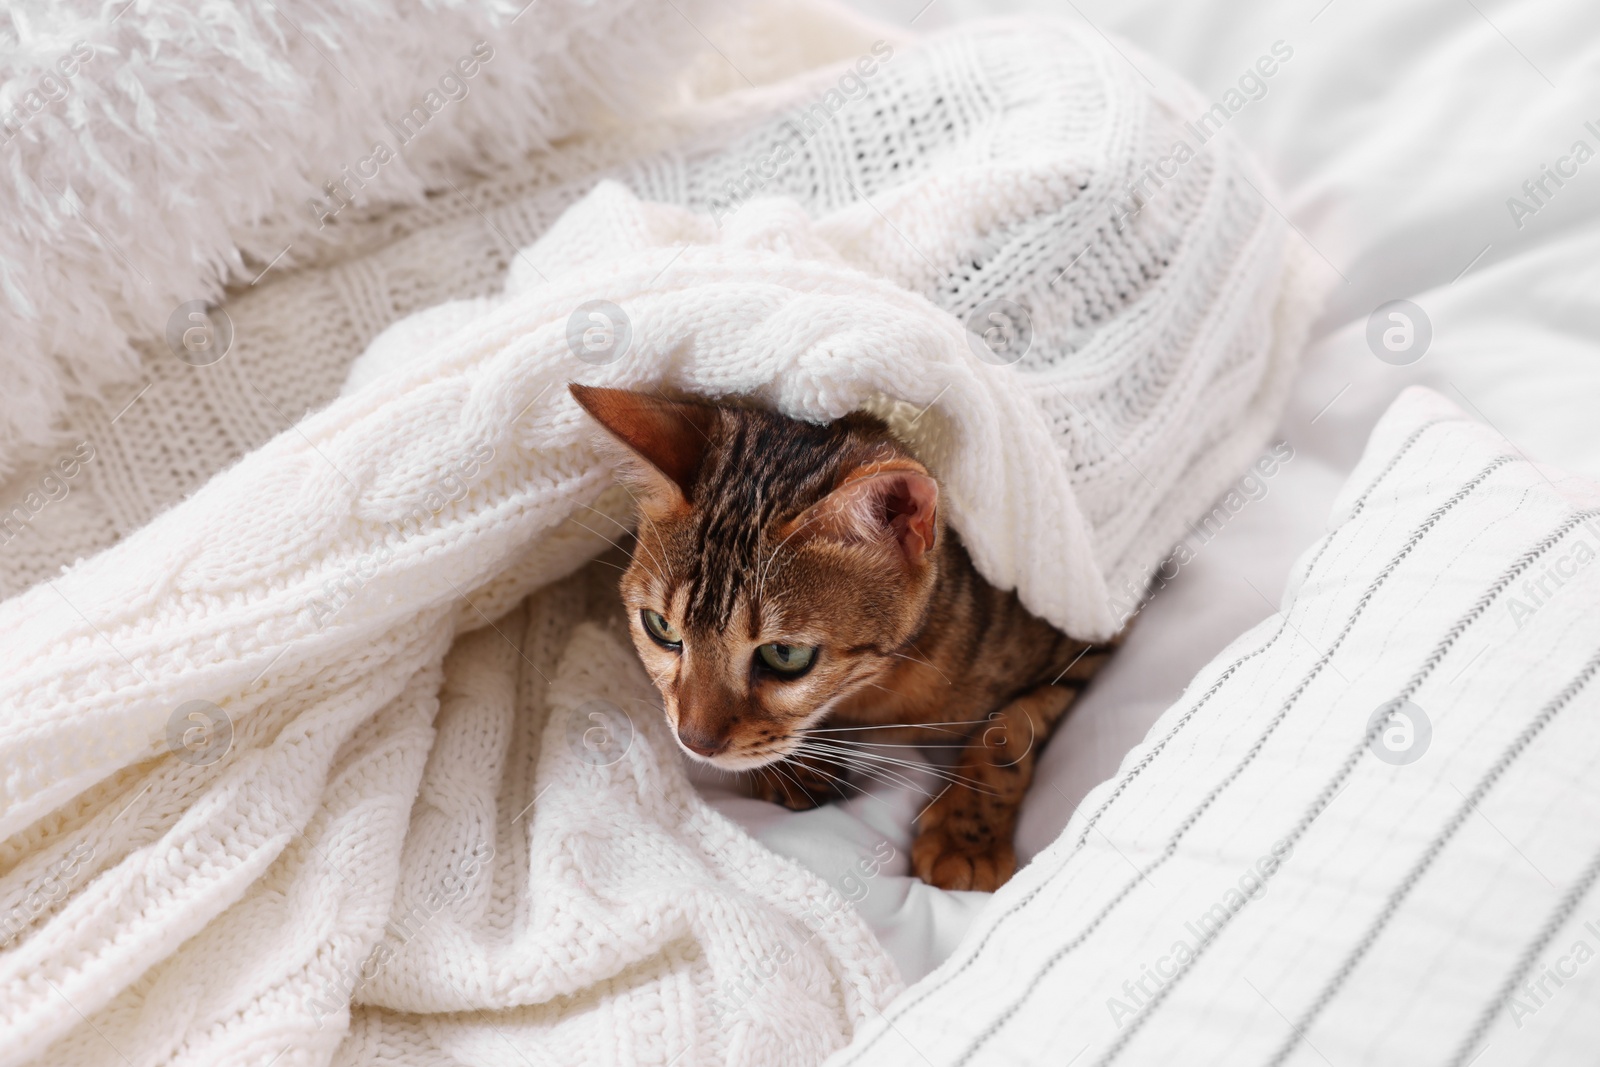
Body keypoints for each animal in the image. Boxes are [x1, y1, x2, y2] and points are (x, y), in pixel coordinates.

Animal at [572, 385, 1113, 895]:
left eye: (785, 654)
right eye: (660, 629)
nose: (695, 743)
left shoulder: (1084, 633)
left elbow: (1011, 729)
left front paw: (966, 838)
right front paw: (794, 767)